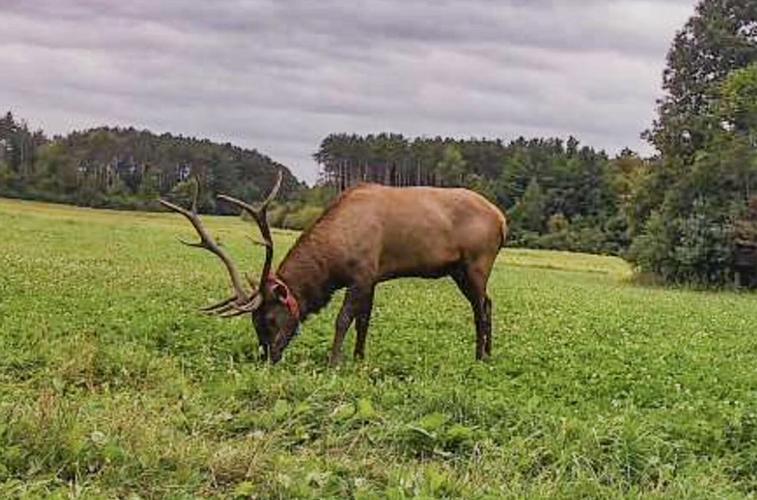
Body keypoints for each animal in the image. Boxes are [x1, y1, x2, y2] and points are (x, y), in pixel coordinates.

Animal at [160, 171, 507, 366]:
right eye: (254, 323)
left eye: (269, 319)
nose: (267, 358)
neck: (334, 260)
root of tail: (502, 220)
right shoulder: (372, 277)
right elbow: (365, 320)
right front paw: (359, 359)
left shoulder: (361, 273)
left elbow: (343, 320)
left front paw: (334, 362)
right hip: (458, 269)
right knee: (488, 303)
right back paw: (488, 353)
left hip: (477, 262)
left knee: (481, 307)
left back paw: (480, 356)